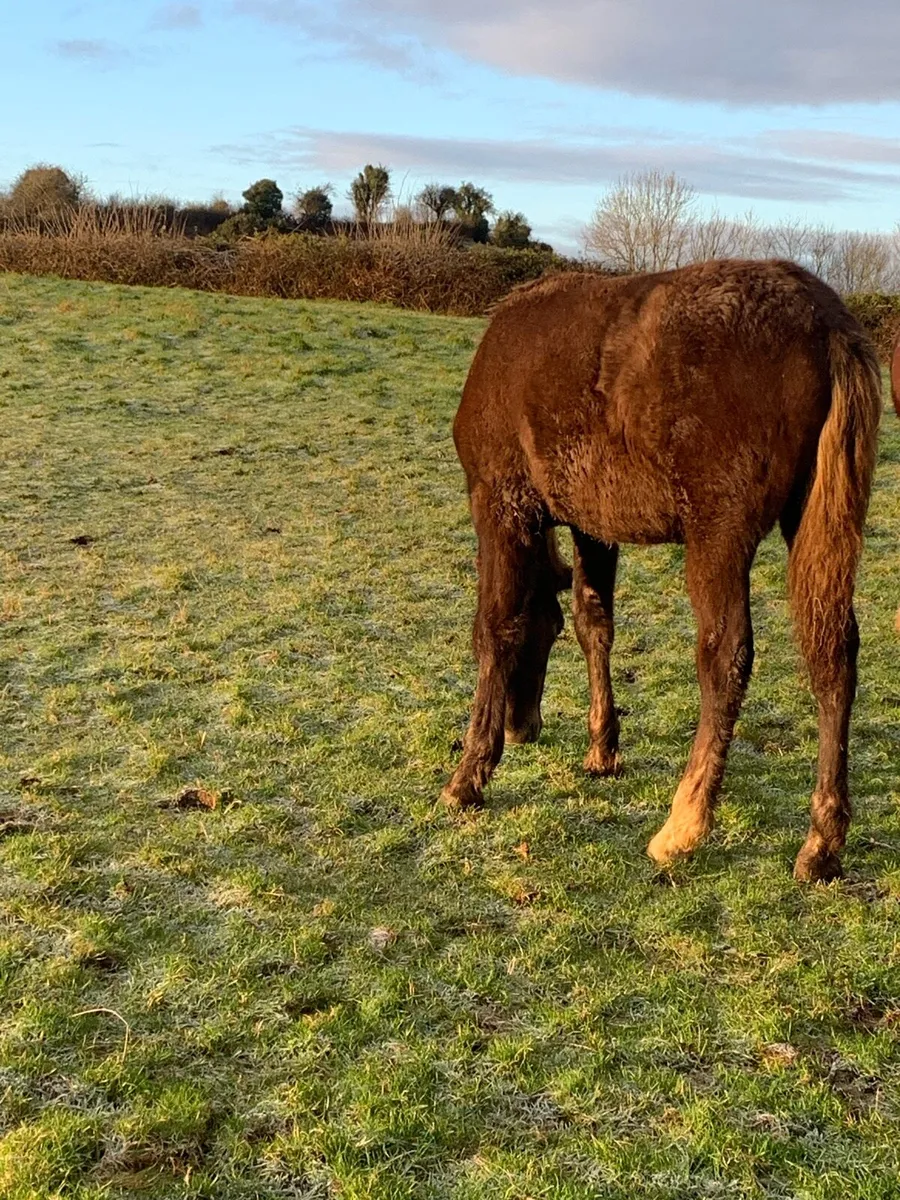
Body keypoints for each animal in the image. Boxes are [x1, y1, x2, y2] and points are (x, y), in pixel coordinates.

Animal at [441, 259, 882, 883]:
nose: (521, 725)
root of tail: (830, 324)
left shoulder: (500, 502)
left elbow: (494, 628)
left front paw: (470, 774)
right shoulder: (592, 523)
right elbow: (593, 623)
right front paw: (602, 749)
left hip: (718, 533)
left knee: (727, 656)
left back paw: (685, 823)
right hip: (815, 521)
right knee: (834, 655)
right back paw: (822, 843)